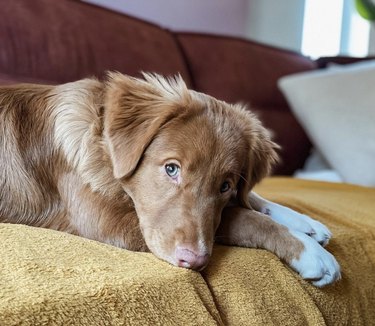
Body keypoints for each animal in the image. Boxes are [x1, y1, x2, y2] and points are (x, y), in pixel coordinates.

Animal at [0, 72, 340, 286]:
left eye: (226, 185)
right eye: (171, 169)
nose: (195, 262)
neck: (101, 147)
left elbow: (245, 202)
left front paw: (305, 223)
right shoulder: (109, 223)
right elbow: (239, 217)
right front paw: (309, 251)